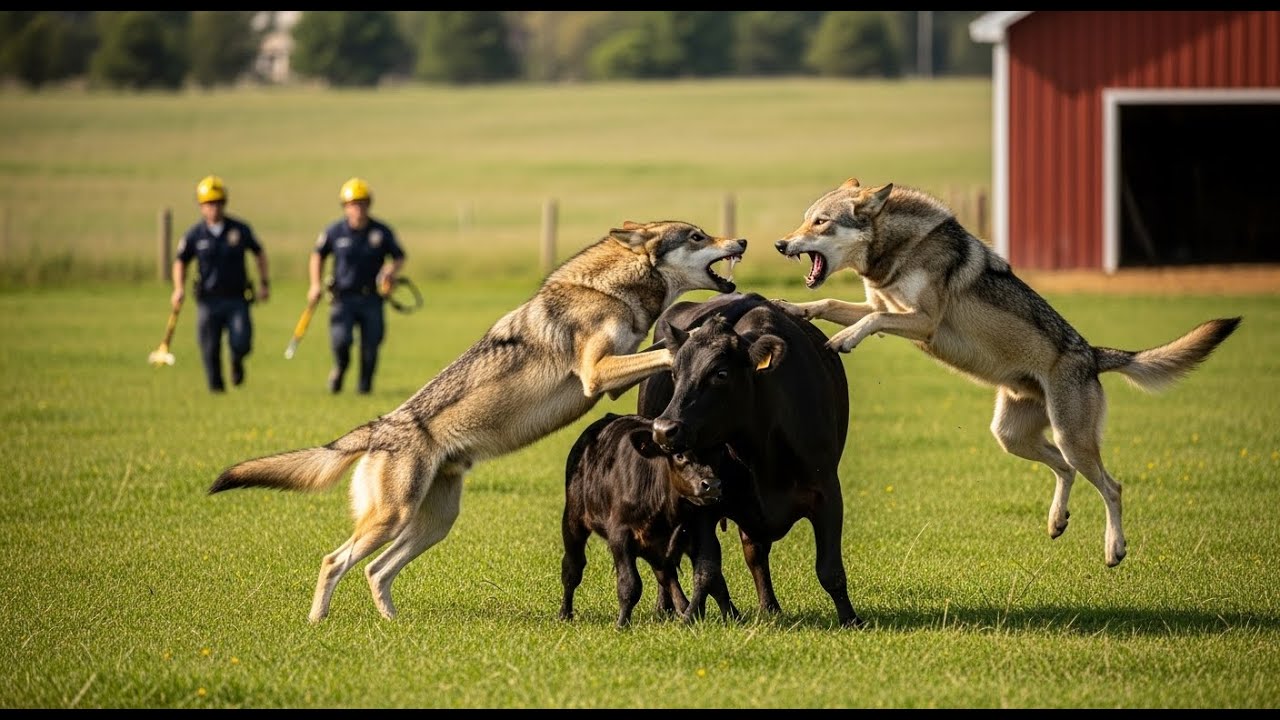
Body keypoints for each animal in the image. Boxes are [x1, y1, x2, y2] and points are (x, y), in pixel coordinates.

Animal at [559, 412, 745, 628]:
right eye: (679, 455)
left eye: (717, 452)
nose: (712, 485)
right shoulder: (620, 535)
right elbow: (630, 584)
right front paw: (622, 624)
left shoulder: (700, 532)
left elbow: (712, 577)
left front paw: (733, 617)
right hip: (573, 521)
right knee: (572, 568)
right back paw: (564, 613)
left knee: (667, 576)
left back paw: (684, 609)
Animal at [637, 292, 864, 627]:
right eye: (675, 373)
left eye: (720, 373)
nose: (664, 429)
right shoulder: (705, 501)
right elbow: (707, 570)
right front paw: (697, 616)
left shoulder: (827, 492)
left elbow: (829, 569)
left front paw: (850, 620)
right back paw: (670, 607)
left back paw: (767, 608)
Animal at [772, 177, 1240, 568]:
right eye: (805, 218)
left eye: (820, 222)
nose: (780, 243)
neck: (896, 250)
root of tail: (1092, 355)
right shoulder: (882, 306)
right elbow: (830, 303)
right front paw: (789, 308)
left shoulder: (920, 322)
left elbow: (866, 322)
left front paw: (843, 339)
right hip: (1012, 437)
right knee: (1065, 471)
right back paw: (1056, 521)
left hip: (1071, 438)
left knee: (1113, 487)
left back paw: (1114, 550)